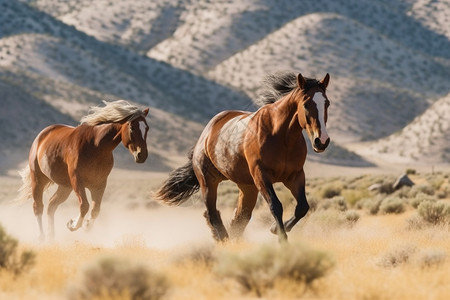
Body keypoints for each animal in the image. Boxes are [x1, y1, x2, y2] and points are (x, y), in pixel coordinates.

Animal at [18, 99, 149, 240]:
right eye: (132, 127)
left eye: (147, 128)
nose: (142, 155)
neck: (96, 147)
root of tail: (40, 136)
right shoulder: (77, 180)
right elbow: (84, 206)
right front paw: (73, 225)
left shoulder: (99, 184)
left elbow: (95, 210)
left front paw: (85, 225)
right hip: (38, 179)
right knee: (38, 206)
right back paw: (41, 236)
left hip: (65, 187)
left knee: (51, 205)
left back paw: (51, 236)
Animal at [155, 71, 330, 243]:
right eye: (306, 104)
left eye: (327, 103)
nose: (321, 141)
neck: (280, 137)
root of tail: (205, 134)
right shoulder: (261, 175)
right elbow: (276, 206)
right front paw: (282, 239)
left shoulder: (295, 176)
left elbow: (302, 207)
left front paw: (276, 229)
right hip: (208, 183)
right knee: (212, 213)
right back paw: (224, 240)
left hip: (247, 187)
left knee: (240, 217)